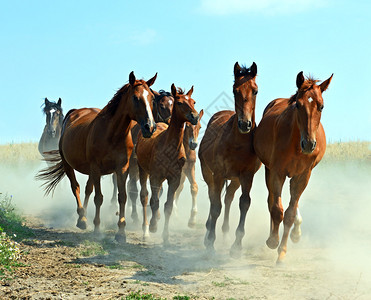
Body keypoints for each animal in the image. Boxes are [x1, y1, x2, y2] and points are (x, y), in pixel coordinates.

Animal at [38, 71, 158, 243]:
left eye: (152, 98)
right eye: (135, 98)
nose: (150, 127)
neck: (112, 134)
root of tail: (75, 112)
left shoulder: (122, 168)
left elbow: (122, 197)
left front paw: (121, 232)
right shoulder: (96, 168)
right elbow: (99, 198)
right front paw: (97, 228)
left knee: (88, 189)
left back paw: (83, 217)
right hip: (70, 166)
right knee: (76, 187)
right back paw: (82, 219)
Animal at [109, 88, 175, 223]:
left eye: (174, 104)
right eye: (162, 105)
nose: (171, 122)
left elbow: (158, 190)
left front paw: (154, 213)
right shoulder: (135, 166)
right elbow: (133, 190)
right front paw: (135, 216)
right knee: (118, 182)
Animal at [137, 84, 201, 244]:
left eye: (193, 101)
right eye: (180, 102)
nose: (195, 116)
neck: (169, 147)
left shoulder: (174, 178)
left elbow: (168, 206)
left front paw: (165, 237)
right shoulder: (155, 176)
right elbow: (154, 201)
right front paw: (153, 226)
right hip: (143, 170)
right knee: (144, 196)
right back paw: (146, 229)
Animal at [199, 61, 264, 258]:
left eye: (255, 90)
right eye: (235, 90)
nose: (245, 124)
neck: (238, 142)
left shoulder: (247, 176)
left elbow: (244, 203)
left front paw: (236, 245)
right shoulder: (219, 174)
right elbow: (215, 206)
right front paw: (210, 243)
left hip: (234, 179)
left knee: (228, 198)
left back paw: (225, 232)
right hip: (208, 173)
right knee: (213, 197)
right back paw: (208, 232)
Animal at [254, 71, 336, 262]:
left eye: (321, 106)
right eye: (298, 105)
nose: (309, 144)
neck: (296, 144)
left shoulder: (303, 175)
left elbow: (290, 214)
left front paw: (282, 252)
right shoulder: (277, 172)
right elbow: (277, 209)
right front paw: (273, 241)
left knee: (292, 203)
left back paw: (295, 233)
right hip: (270, 171)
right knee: (271, 200)